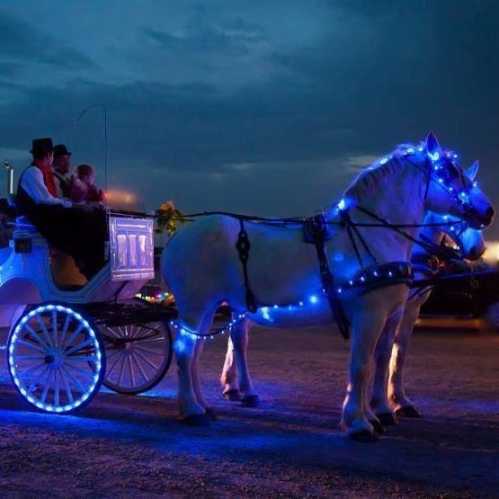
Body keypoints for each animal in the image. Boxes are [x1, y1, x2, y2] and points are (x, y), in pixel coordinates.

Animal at [162, 133, 494, 442]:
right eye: (449, 170)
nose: (488, 212)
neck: (372, 233)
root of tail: (178, 237)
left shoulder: (392, 312)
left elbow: (383, 359)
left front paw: (378, 413)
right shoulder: (370, 313)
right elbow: (361, 364)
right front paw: (360, 423)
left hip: (210, 306)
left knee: (199, 352)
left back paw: (205, 405)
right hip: (196, 305)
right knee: (186, 352)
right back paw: (192, 409)